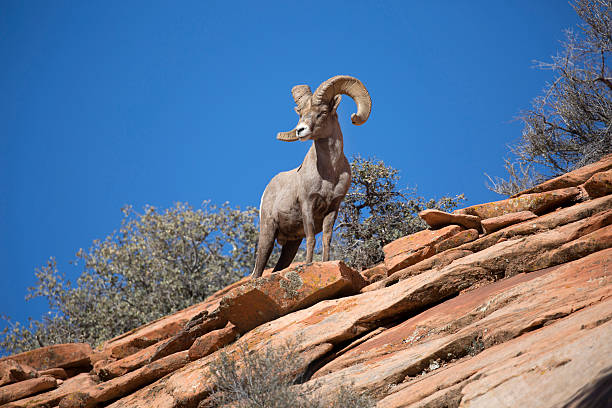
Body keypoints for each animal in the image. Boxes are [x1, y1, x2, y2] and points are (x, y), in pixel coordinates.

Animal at [251, 75, 370, 278]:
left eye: (322, 112)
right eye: (301, 114)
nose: (301, 130)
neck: (329, 174)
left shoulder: (333, 208)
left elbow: (326, 239)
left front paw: (326, 263)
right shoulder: (308, 204)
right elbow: (311, 240)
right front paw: (308, 265)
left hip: (291, 244)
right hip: (268, 231)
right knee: (257, 270)